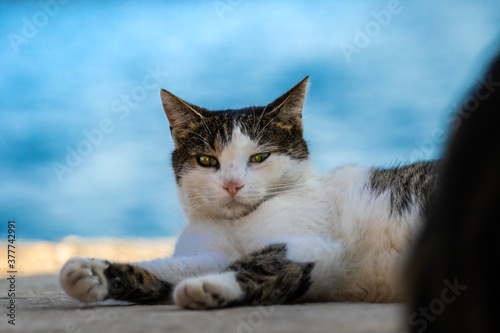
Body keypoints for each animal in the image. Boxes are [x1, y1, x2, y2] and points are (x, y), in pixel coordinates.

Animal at [60, 76, 440, 308]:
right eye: (206, 160)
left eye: (259, 157)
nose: (232, 184)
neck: (237, 225)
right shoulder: (205, 255)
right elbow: (164, 270)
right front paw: (93, 273)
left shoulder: (312, 242)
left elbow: (259, 262)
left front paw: (209, 287)